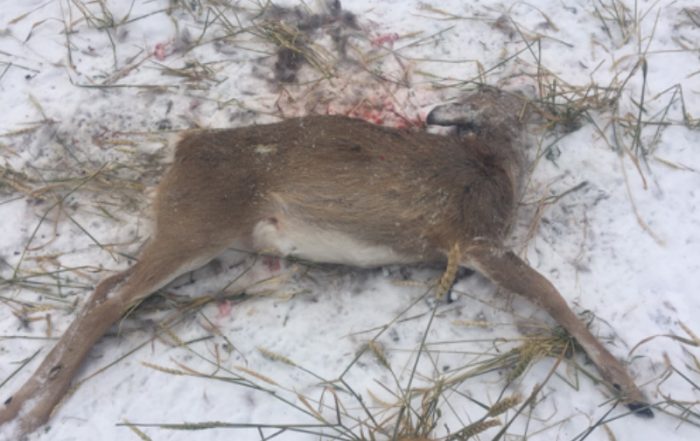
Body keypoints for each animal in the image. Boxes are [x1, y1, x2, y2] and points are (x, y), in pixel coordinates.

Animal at [0, 87, 652, 439]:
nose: (433, 113)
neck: (496, 166)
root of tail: (185, 148)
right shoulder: (475, 239)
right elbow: (553, 296)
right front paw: (632, 390)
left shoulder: (470, 247)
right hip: (200, 223)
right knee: (111, 298)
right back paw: (38, 412)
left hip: (199, 233)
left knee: (106, 288)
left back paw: (18, 401)